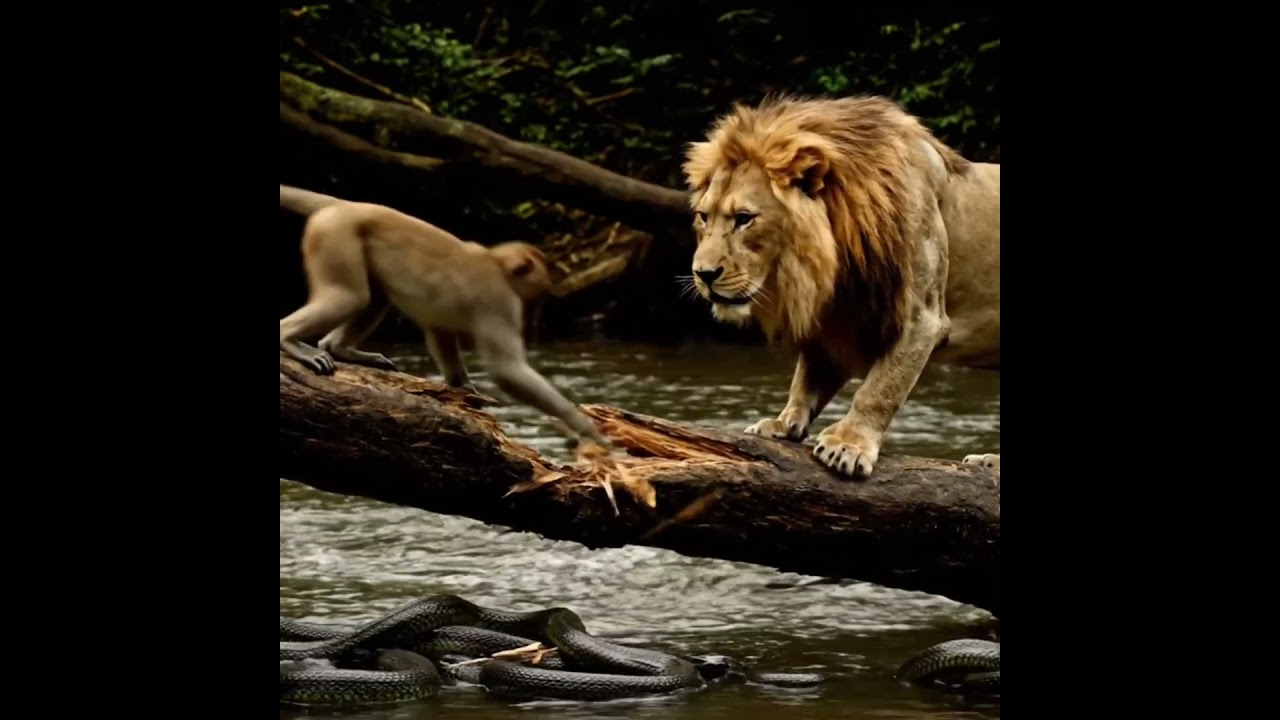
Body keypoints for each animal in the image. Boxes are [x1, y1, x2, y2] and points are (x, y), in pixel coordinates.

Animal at [278, 184, 610, 448]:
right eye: (538, 295)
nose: (534, 313)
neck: (497, 264)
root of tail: (344, 206)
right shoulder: (499, 300)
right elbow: (507, 370)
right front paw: (584, 426)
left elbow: (441, 333)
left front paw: (463, 388)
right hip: (336, 237)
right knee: (350, 296)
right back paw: (291, 342)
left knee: (373, 299)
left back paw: (339, 348)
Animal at [681, 94, 999, 480]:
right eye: (704, 216)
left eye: (744, 218)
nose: (703, 273)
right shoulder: (837, 315)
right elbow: (807, 376)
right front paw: (783, 425)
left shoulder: (922, 317)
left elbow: (881, 387)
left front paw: (848, 445)